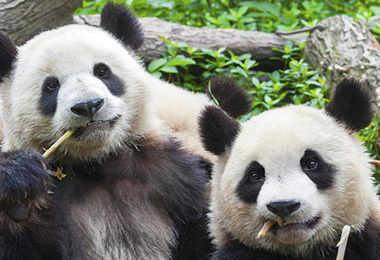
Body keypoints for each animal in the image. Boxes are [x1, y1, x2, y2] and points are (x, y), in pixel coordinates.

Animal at [0, 2, 252, 260]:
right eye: (51, 86)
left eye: (102, 71)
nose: (88, 105)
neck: (98, 162)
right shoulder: (56, 194)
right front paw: (18, 187)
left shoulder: (172, 177)